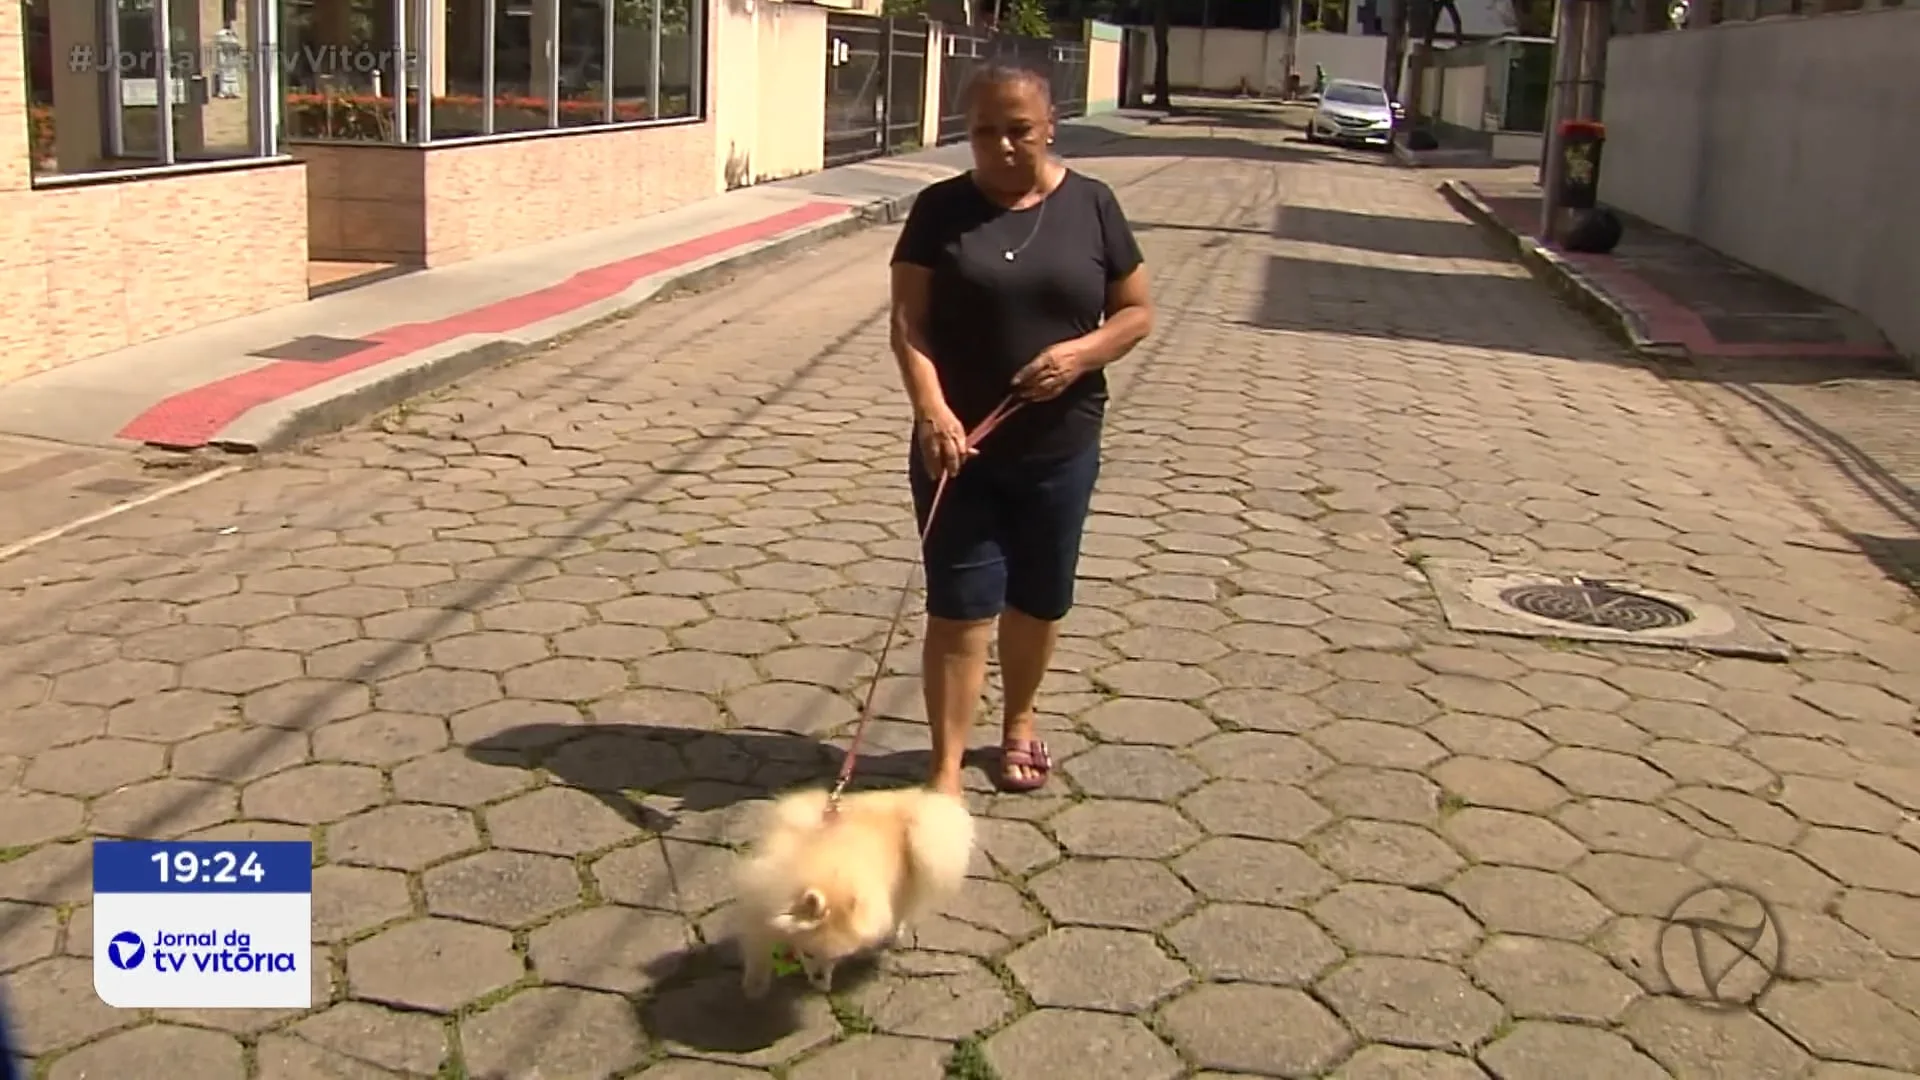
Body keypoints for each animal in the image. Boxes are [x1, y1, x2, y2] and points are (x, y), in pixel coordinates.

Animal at [729, 780, 983, 991]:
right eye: (810, 954)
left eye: (834, 959)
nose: (822, 984)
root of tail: (912, 804)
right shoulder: (759, 900)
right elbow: (758, 942)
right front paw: (755, 982)